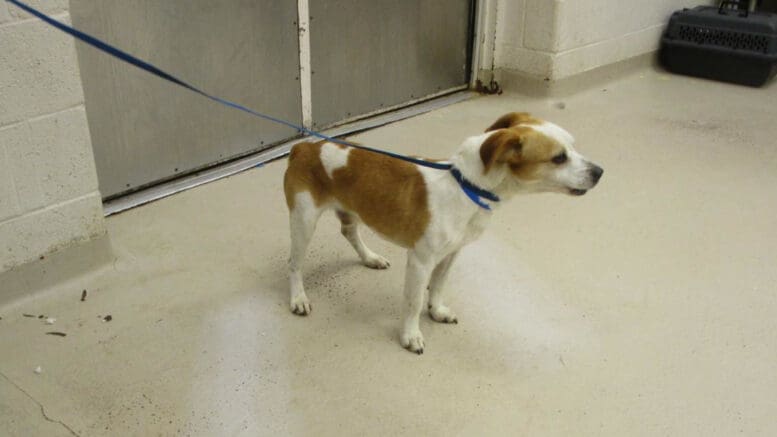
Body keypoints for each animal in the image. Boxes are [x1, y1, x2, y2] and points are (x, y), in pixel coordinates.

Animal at [282, 110, 604, 352]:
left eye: (573, 146)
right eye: (559, 157)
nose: (600, 172)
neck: (464, 185)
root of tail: (304, 147)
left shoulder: (452, 253)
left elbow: (437, 287)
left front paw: (436, 311)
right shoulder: (420, 260)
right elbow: (413, 302)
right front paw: (410, 335)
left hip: (350, 210)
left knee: (349, 233)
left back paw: (370, 257)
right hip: (304, 220)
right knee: (294, 264)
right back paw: (298, 298)